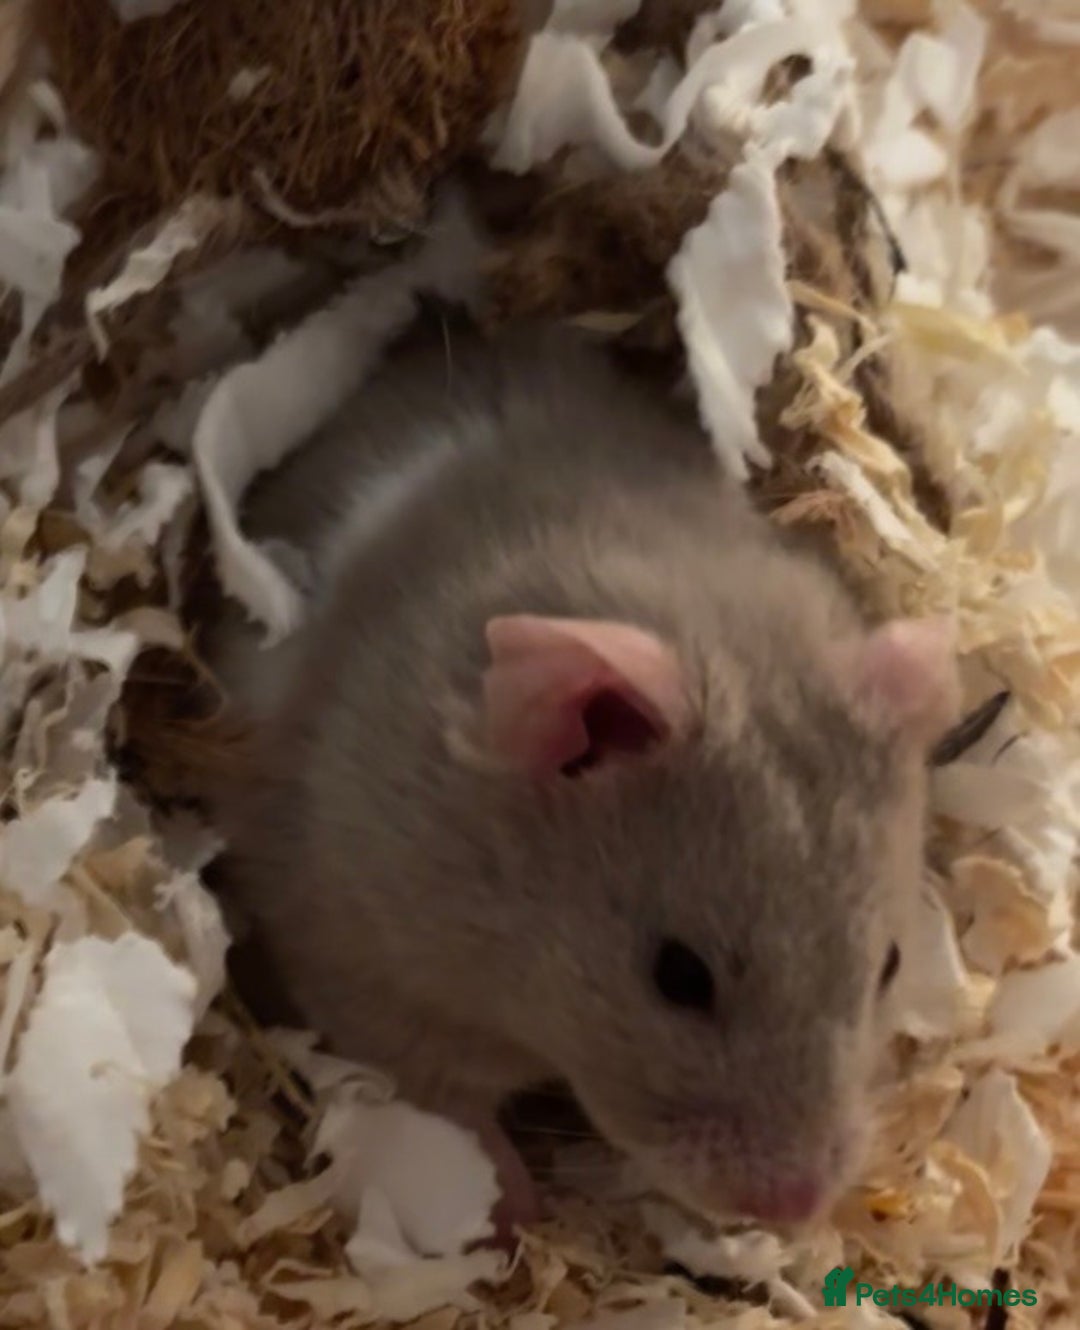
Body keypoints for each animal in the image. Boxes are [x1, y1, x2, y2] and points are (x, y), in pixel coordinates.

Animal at [200, 309, 960, 1234]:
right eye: (679, 976)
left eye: (890, 964)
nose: (793, 1208)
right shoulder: (361, 962)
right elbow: (447, 1104)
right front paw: (510, 1209)